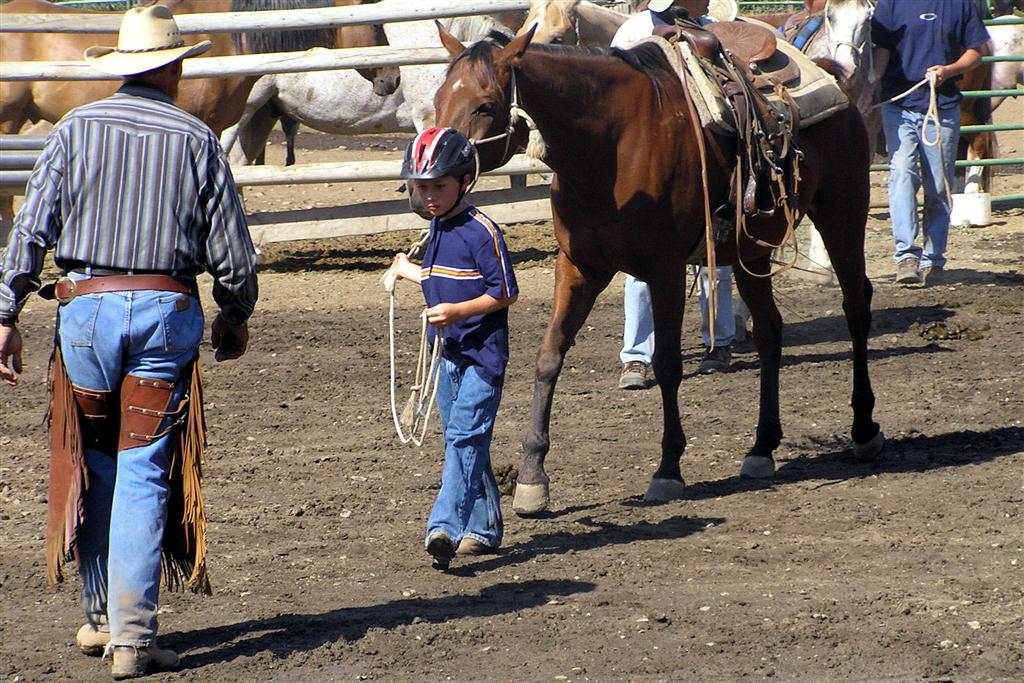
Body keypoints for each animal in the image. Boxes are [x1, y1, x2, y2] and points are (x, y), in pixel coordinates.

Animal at [431, 27, 883, 513]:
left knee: (856, 307)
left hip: (842, 215)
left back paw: (864, 430)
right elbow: (549, 356)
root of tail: (832, 81)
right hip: (751, 253)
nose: (432, 171)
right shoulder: (577, 267)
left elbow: (667, 364)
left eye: (485, 105)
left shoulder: (663, 269)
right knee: (770, 331)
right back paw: (762, 447)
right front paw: (533, 478)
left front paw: (668, 469)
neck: (608, 147)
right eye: (438, 96)